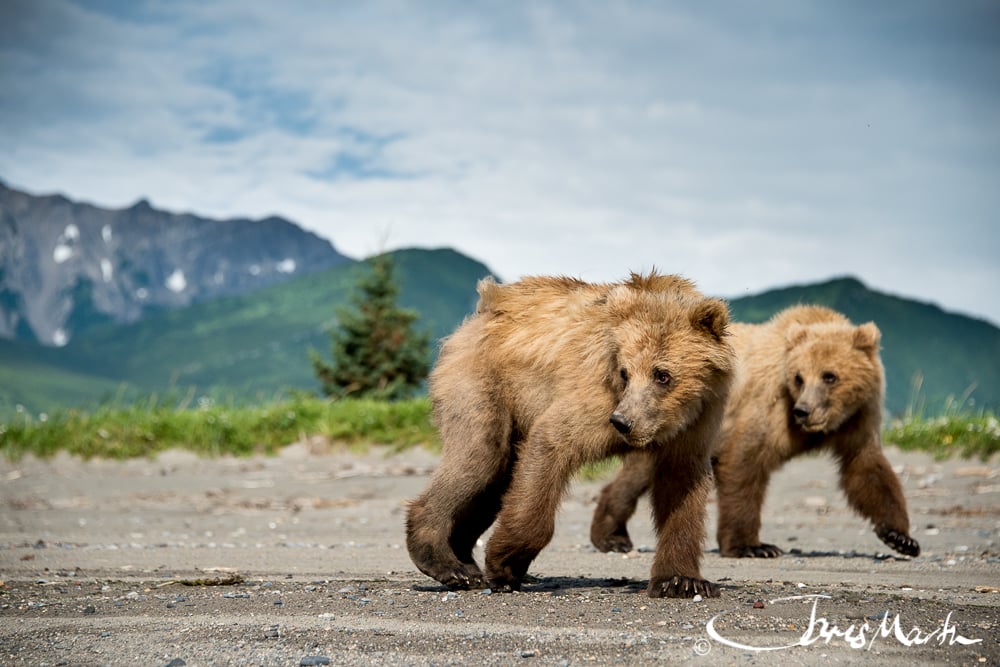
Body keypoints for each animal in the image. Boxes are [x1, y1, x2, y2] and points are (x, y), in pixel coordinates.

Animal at [405, 272, 734, 598]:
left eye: (662, 375)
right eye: (625, 372)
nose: (622, 422)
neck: (673, 419)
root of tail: (484, 306)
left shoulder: (697, 424)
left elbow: (682, 487)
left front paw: (681, 581)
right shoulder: (595, 398)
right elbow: (551, 444)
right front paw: (505, 564)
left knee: (493, 483)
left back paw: (466, 562)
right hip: (482, 383)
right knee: (480, 458)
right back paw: (448, 565)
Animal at [590, 304, 920, 559]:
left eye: (830, 376)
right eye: (799, 377)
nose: (804, 411)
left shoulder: (858, 418)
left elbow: (866, 468)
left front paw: (900, 537)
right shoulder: (766, 405)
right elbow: (745, 463)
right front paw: (753, 546)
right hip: (654, 418)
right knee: (638, 472)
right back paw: (611, 536)